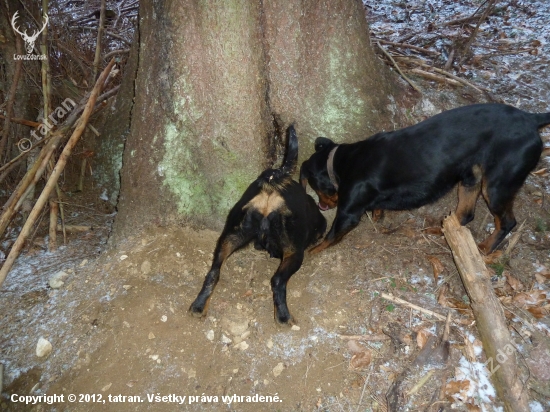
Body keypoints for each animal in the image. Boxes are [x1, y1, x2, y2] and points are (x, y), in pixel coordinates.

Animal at [191, 125, 328, 326]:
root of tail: (272, 185)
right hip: (294, 252)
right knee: (277, 281)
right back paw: (283, 316)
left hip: (230, 237)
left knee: (213, 272)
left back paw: (199, 306)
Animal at [302, 103, 550, 254]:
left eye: (316, 187)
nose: (321, 205)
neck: (342, 161)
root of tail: (530, 118)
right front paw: (378, 213)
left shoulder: (348, 213)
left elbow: (330, 236)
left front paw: (311, 252)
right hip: (470, 176)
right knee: (465, 214)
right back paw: (442, 232)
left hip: (497, 186)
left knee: (507, 222)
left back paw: (485, 248)